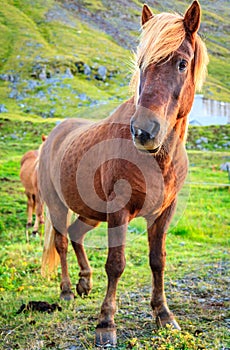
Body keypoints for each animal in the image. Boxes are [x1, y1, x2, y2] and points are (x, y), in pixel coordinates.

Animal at [38, 1, 208, 348]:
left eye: (182, 64)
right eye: (141, 64)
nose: (144, 131)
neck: (158, 161)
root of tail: (54, 134)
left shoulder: (164, 213)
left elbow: (158, 259)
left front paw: (164, 315)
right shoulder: (118, 212)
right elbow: (116, 264)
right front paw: (106, 323)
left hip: (90, 212)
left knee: (76, 234)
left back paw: (84, 284)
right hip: (57, 205)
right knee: (61, 242)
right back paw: (66, 292)